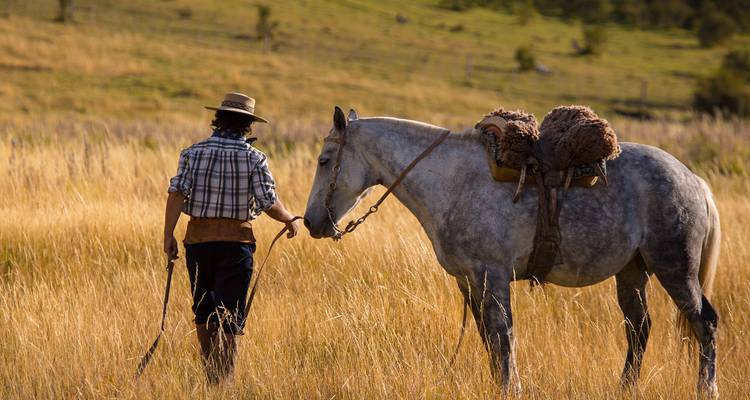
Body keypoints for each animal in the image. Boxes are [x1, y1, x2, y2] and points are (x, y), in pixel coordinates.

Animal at [303, 107, 721, 397]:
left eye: (324, 160)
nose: (310, 222)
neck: (452, 181)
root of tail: (694, 179)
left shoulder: (493, 274)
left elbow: (503, 336)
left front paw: (510, 387)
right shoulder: (470, 280)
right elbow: (488, 337)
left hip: (675, 269)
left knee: (705, 324)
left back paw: (706, 389)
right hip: (633, 272)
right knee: (639, 329)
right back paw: (625, 388)